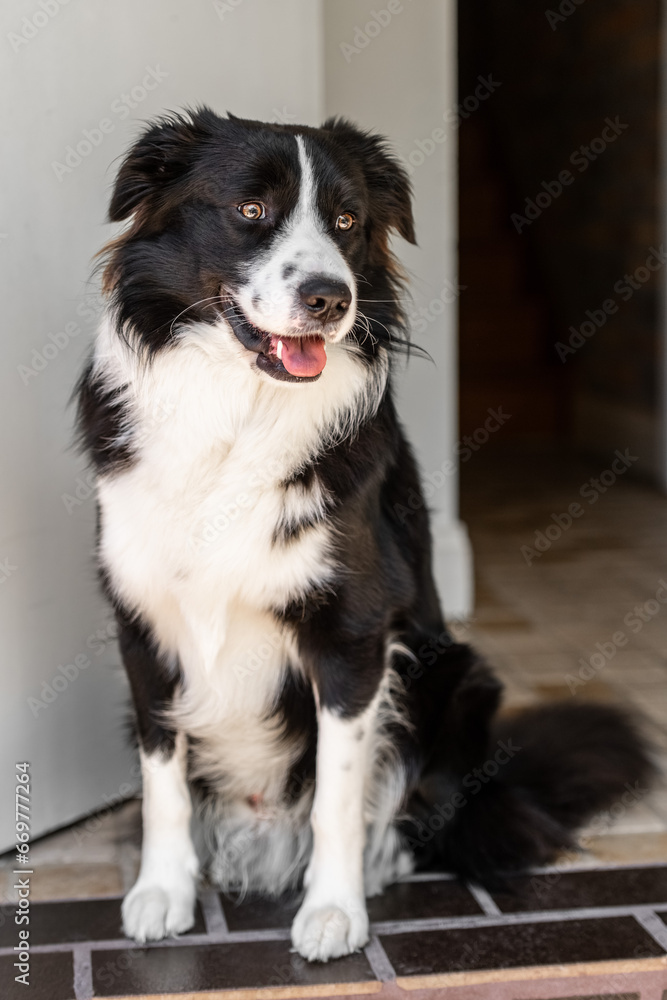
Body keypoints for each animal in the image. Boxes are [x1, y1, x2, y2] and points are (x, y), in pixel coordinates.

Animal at [77, 109, 652, 960]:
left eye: (346, 221)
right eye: (250, 209)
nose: (329, 298)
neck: (237, 410)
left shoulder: (351, 634)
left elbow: (338, 794)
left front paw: (332, 908)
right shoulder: (142, 625)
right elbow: (162, 776)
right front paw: (162, 891)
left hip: (454, 677)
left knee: (431, 818)